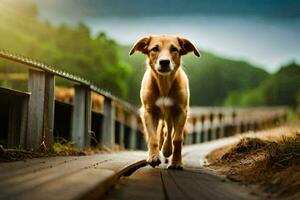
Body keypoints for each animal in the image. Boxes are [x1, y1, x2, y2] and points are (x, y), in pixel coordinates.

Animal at [129, 34, 199, 169]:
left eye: (174, 49)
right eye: (155, 49)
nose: (164, 62)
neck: (164, 83)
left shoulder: (181, 111)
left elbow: (177, 139)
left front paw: (176, 162)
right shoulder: (149, 111)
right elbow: (153, 137)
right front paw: (154, 157)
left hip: (170, 116)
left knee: (169, 132)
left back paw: (167, 150)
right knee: (162, 133)